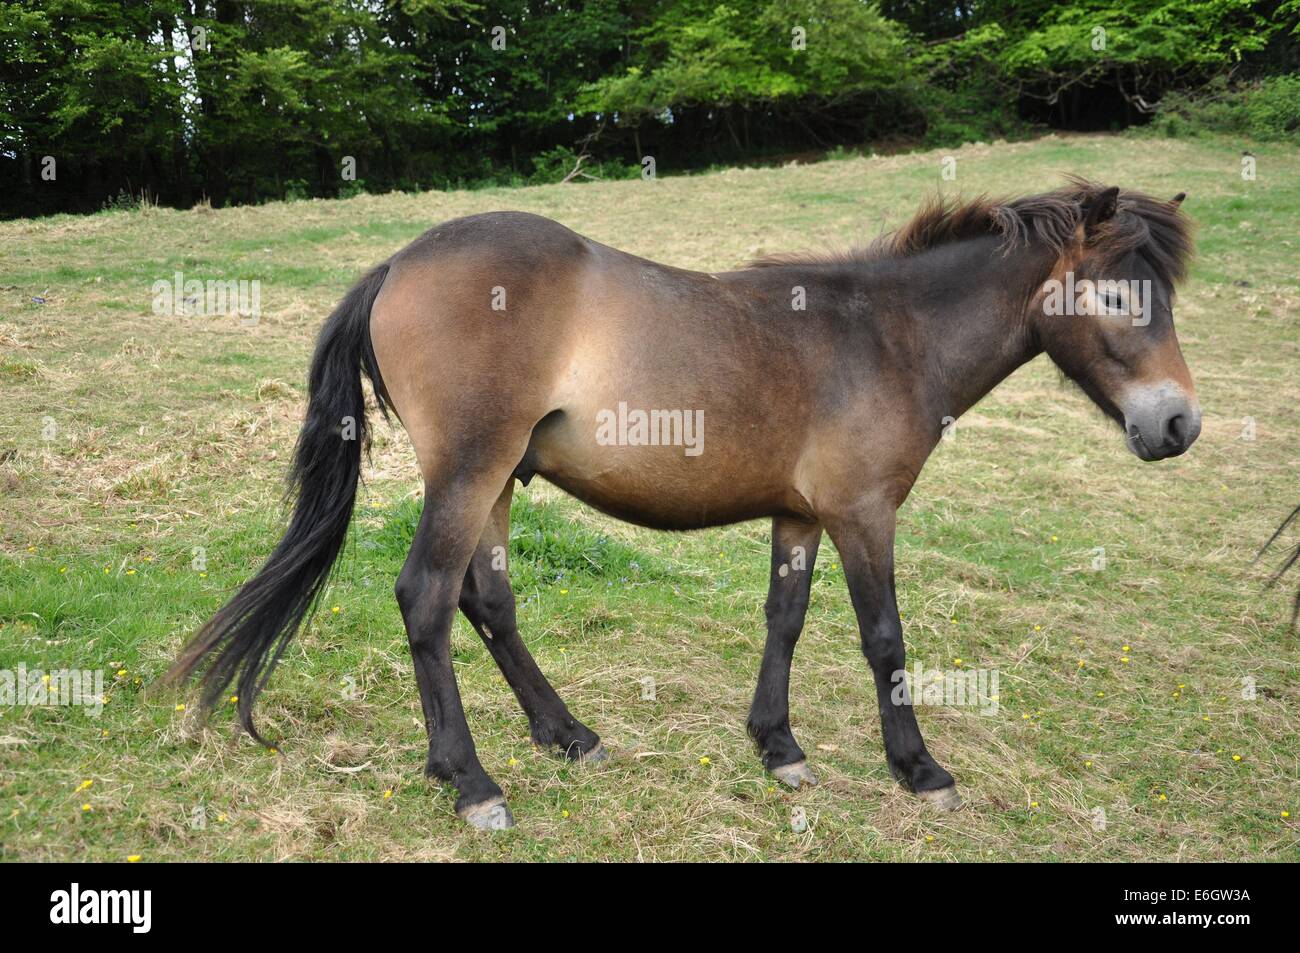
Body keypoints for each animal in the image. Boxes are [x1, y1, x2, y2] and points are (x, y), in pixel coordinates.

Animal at [170, 176, 1196, 826]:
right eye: (1116, 295)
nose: (1178, 422)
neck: (883, 335)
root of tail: (396, 265)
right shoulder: (864, 514)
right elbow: (885, 640)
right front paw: (920, 770)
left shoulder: (801, 514)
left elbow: (786, 617)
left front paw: (779, 747)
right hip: (468, 473)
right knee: (425, 598)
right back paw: (472, 783)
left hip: (497, 481)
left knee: (487, 601)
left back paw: (567, 735)